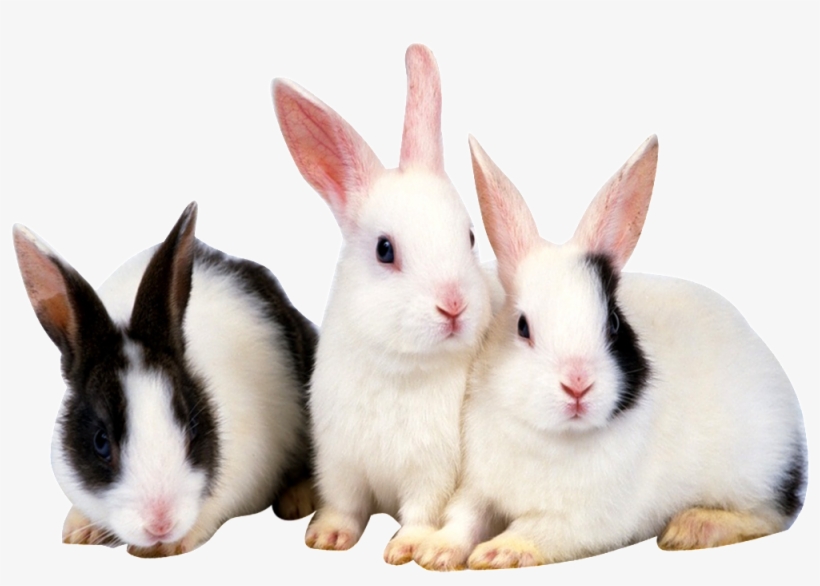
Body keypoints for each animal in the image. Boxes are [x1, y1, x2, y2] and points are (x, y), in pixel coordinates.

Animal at [12, 202, 318, 557]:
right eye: (100, 442)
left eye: (193, 427)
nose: (161, 524)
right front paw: (79, 530)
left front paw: (165, 548)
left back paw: (299, 500)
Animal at [272, 44, 494, 564]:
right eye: (385, 249)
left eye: (470, 236)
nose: (453, 305)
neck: (398, 366)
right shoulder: (340, 463)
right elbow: (344, 505)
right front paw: (327, 538)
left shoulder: (432, 473)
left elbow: (421, 511)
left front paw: (407, 548)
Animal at [413, 135, 807, 570]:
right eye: (522, 327)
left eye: (614, 324)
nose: (578, 385)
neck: (551, 436)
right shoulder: (478, 489)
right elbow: (463, 519)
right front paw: (436, 552)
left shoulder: (580, 521)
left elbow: (535, 530)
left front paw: (498, 552)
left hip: (757, 472)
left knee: (773, 514)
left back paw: (691, 528)